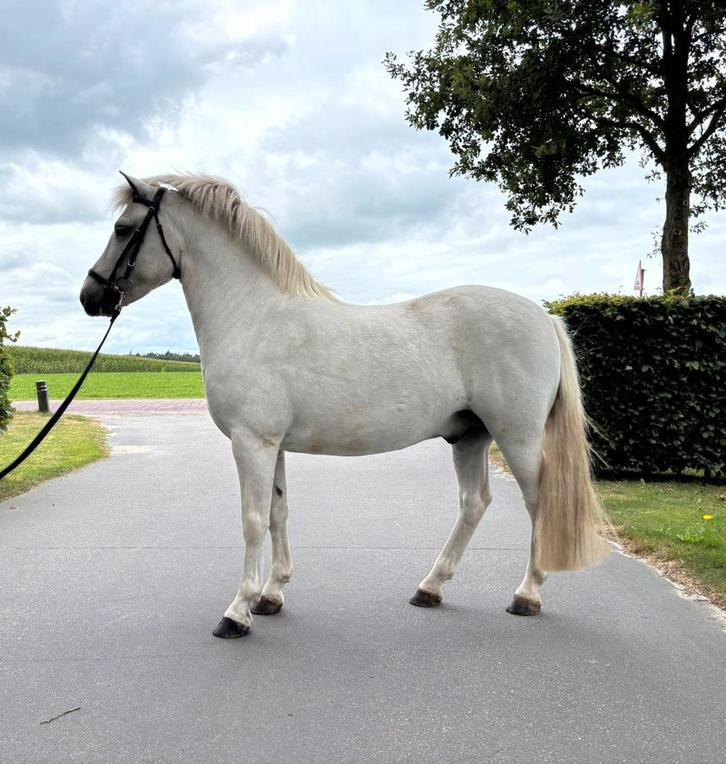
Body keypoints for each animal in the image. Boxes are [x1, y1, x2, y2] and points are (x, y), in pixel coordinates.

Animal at [80, 173, 609, 639]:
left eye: (123, 228)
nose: (90, 297)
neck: (254, 316)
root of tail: (544, 317)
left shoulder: (252, 442)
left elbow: (252, 521)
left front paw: (238, 611)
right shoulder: (273, 445)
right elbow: (278, 513)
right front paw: (271, 595)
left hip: (518, 436)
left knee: (538, 503)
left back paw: (527, 595)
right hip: (469, 435)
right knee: (474, 503)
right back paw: (430, 588)